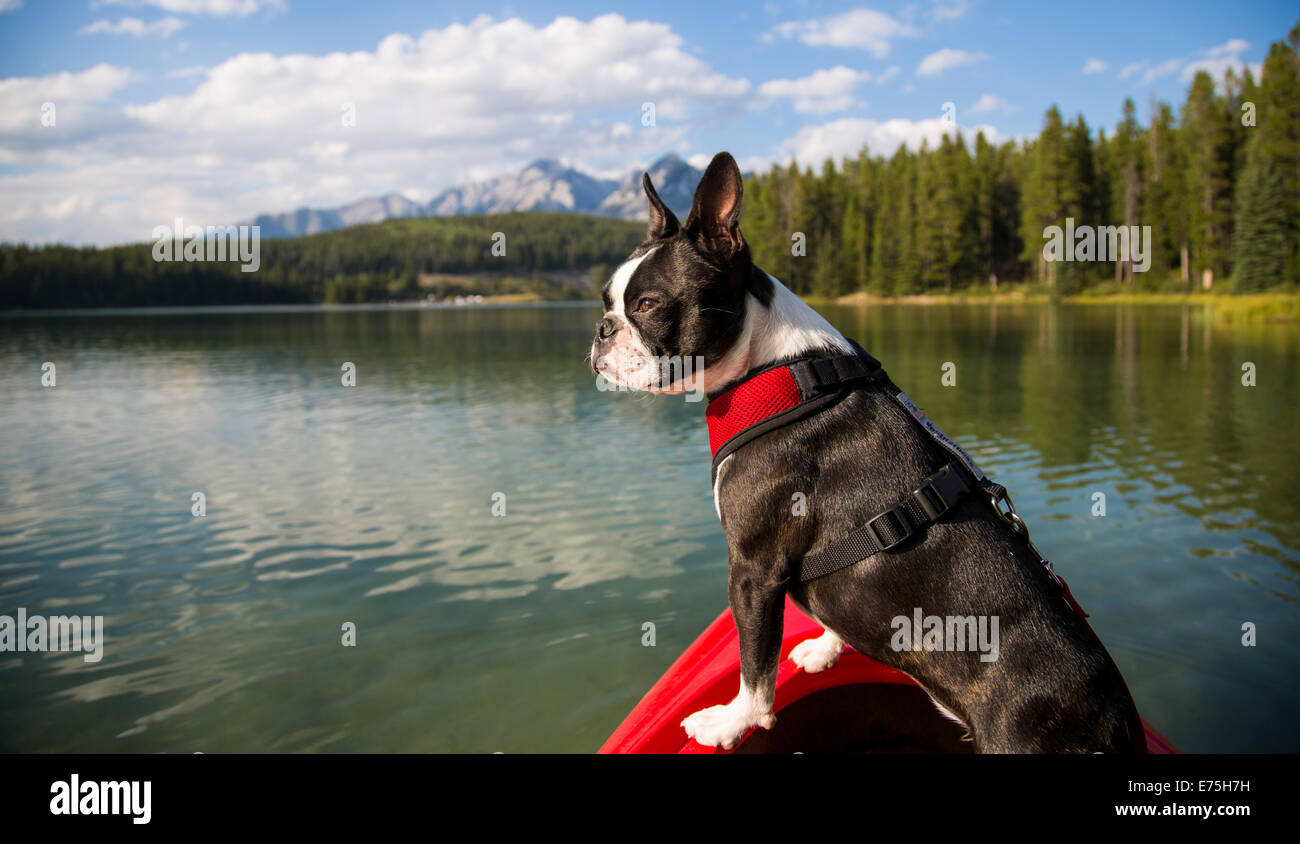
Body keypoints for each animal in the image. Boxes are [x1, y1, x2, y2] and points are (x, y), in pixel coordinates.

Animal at [595, 149, 1144, 749]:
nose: (601, 329)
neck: (773, 366)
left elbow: (756, 666)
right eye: (606, 301)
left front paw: (732, 721)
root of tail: (1116, 717)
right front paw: (826, 647)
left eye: (648, 304)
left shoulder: (753, 569)